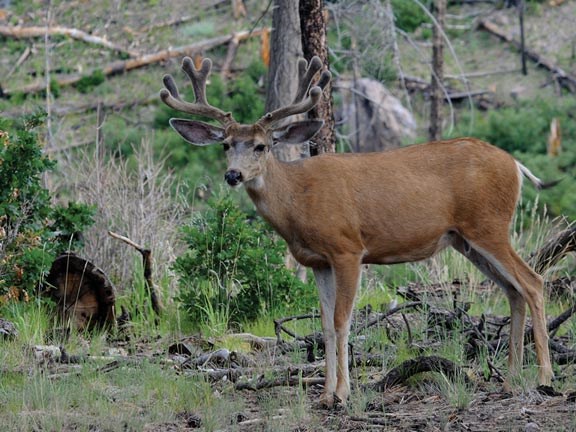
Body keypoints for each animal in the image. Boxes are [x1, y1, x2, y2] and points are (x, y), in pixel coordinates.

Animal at [161, 55, 552, 406]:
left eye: (261, 145)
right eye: (226, 145)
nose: (233, 174)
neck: (298, 201)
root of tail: (515, 165)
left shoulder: (347, 248)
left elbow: (342, 320)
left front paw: (343, 393)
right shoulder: (317, 261)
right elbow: (322, 323)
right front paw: (324, 395)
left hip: (488, 225)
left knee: (533, 281)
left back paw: (544, 377)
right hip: (464, 240)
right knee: (513, 290)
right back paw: (511, 379)